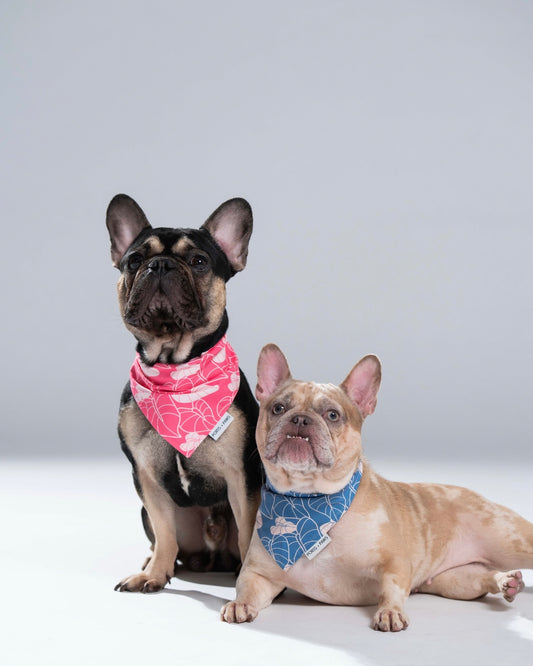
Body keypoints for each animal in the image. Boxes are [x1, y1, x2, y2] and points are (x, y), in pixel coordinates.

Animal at [106, 193, 262, 592]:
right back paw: (153, 562)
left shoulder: (242, 477)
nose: (160, 265)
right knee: (166, 540)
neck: (176, 371)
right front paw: (155, 574)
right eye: (134, 260)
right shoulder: (146, 479)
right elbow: (164, 531)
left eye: (198, 261)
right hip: (147, 512)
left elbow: (249, 531)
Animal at [221, 344, 533, 631]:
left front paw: (390, 612)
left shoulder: (395, 562)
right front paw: (239, 604)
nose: (300, 419)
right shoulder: (258, 574)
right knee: (482, 578)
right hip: (456, 581)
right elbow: (246, 588)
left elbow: (391, 588)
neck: (309, 500)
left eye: (332, 415)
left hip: (510, 540)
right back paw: (506, 581)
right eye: (278, 408)